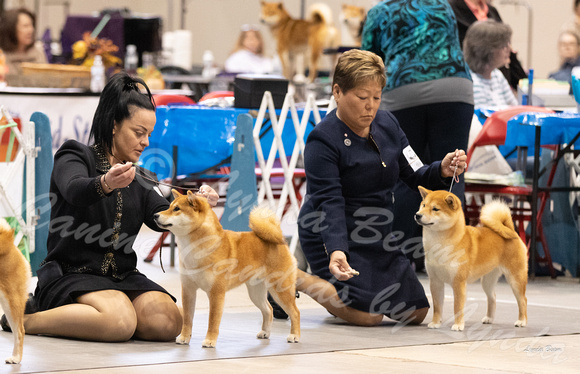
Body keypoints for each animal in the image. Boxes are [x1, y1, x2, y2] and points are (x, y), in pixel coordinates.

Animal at [414, 186, 528, 330]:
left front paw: (458, 325)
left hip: (515, 278)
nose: (418, 215)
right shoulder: (435, 281)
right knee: (492, 297)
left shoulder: (459, 282)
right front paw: (435, 323)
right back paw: (489, 318)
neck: (440, 244)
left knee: (523, 300)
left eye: (435, 209)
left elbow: (457, 306)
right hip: (488, 280)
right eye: (423, 205)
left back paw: (522, 321)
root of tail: (511, 231)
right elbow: (437, 306)